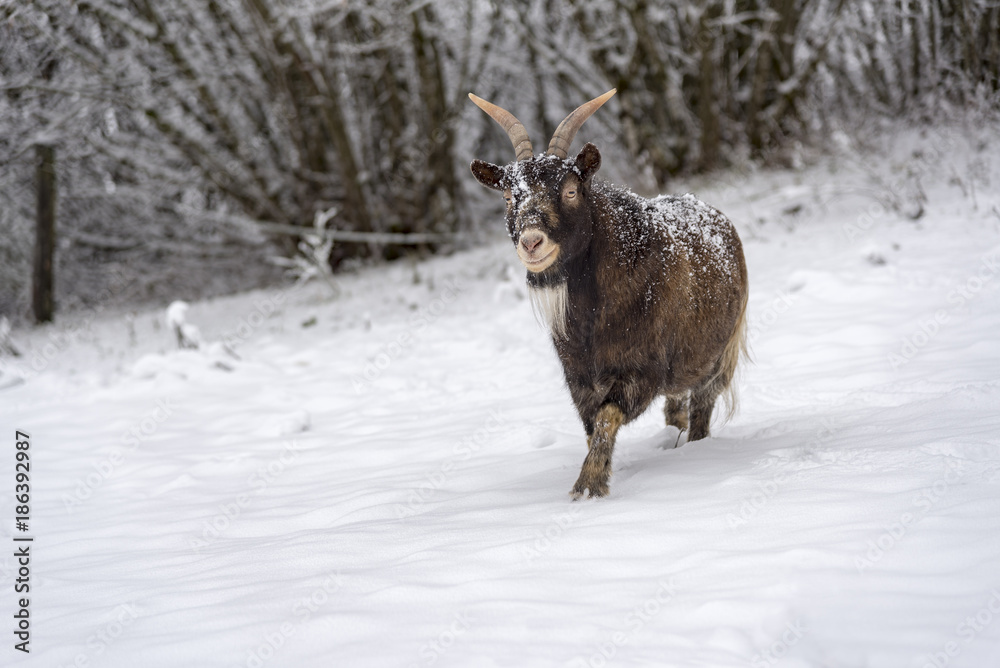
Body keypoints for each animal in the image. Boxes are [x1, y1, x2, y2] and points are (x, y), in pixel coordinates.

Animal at [469, 89, 748, 499]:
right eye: (507, 197)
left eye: (570, 190)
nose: (532, 243)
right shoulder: (578, 376)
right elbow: (591, 427)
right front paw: (597, 477)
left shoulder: (641, 369)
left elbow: (608, 416)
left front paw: (587, 488)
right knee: (676, 405)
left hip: (718, 355)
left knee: (702, 406)